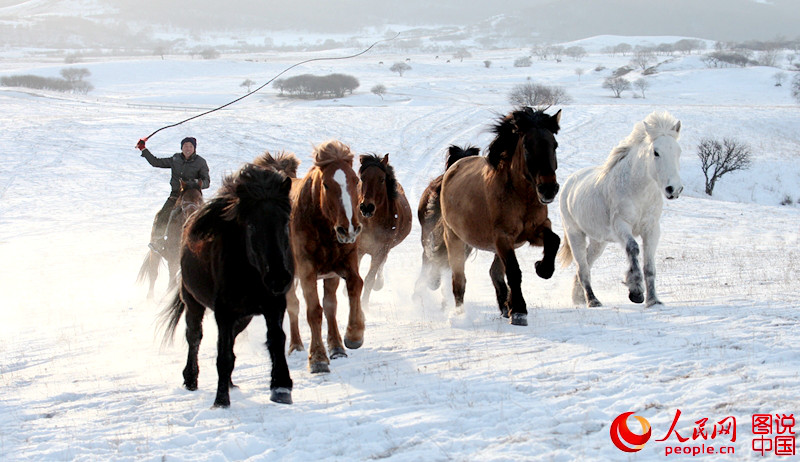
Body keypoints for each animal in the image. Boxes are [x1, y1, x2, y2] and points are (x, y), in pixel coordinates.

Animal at [159, 163, 294, 408]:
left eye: (285, 221)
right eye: (251, 225)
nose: (278, 277)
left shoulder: (275, 304)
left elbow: (276, 340)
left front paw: (281, 387)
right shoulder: (224, 312)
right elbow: (223, 356)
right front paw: (221, 401)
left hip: (244, 316)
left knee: (231, 339)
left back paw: (230, 383)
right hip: (193, 302)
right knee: (194, 336)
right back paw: (191, 379)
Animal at [284, 139, 366, 374]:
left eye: (356, 180)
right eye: (327, 185)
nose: (349, 229)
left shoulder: (343, 263)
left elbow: (355, 284)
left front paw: (353, 335)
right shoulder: (307, 272)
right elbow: (313, 311)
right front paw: (318, 358)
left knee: (330, 306)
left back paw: (337, 347)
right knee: (293, 306)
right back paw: (296, 345)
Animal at [360, 154, 416, 306]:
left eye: (381, 179)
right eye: (362, 178)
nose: (366, 207)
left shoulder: (381, 249)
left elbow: (369, 279)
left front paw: (364, 306)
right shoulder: (358, 248)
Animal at [438, 107, 564, 326]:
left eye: (554, 145)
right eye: (527, 146)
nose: (548, 189)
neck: (521, 197)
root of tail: (456, 164)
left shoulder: (535, 230)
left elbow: (554, 240)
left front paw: (542, 268)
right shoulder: (503, 237)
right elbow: (514, 271)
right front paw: (520, 312)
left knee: (494, 272)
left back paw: (505, 307)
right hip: (454, 238)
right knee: (459, 280)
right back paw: (461, 314)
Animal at [560, 110, 684, 308]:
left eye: (678, 151)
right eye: (656, 152)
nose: (674, 189)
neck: (638, 192)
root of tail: (570, 182)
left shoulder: (652, 229)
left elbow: (649, 266)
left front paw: (653, 300)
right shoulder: (621, 226)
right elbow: (633, 249)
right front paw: (636, 291)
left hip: (598, 242)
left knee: (587, 262)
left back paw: (578, 297)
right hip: (575, 234)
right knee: (582, 268)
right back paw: (593, 301)